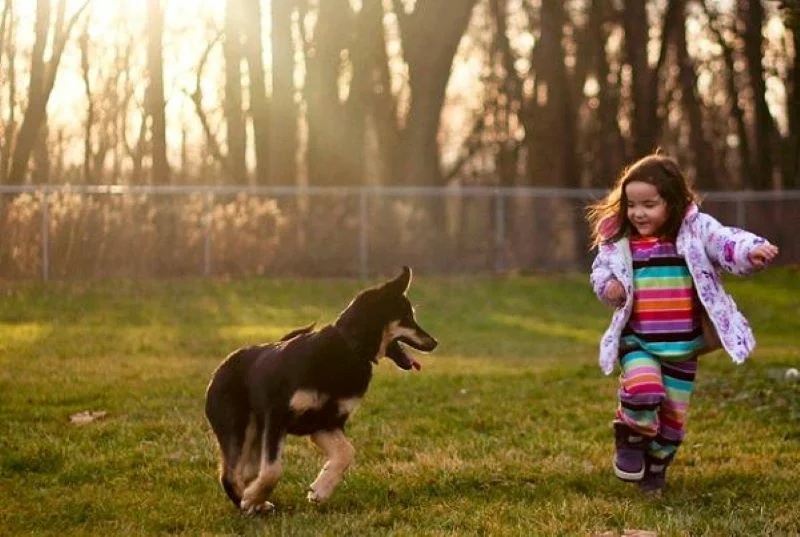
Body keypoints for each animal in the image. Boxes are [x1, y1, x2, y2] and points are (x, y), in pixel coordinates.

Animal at [200, 266, 438, 512]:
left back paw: (257, 502)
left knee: (246, 472)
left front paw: (320, 490)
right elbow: (273, 470)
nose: (435, 342)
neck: (348, 349)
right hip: (238, 427)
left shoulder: (326, 423)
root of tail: (222, 366)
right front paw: (251, 498)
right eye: (408, 318)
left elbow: (346, 453)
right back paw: (247, 501)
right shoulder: (277, 417)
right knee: (230, 474)